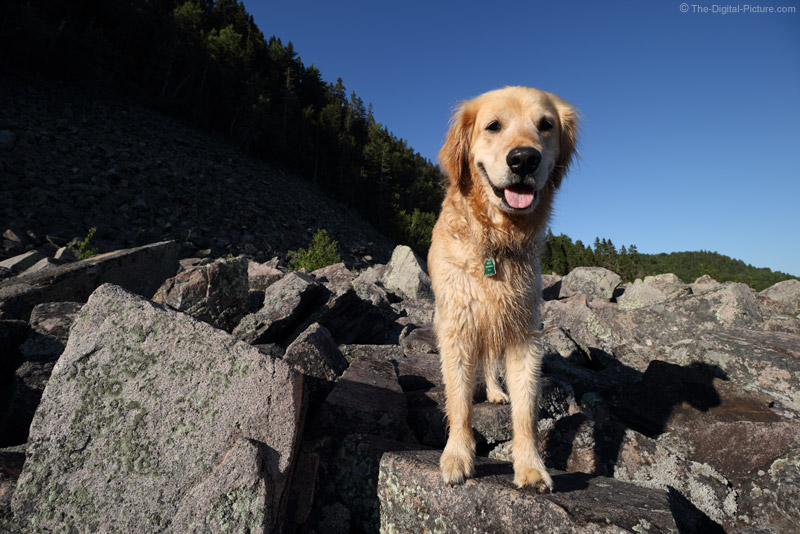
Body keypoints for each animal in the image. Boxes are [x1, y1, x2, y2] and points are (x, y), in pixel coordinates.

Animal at [428, 88, 580, 494]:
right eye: (493, 126)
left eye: (545, 125)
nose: (524, 158)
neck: (497, 241)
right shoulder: (458, 324)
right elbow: (459, 400)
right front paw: (457, 456)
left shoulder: (524, 329)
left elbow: (525, 409)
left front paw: (530, 467)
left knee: (490, 363)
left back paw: (496, 392)